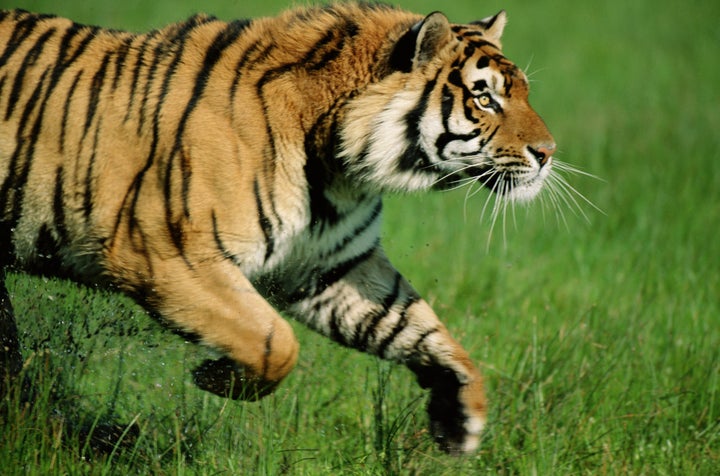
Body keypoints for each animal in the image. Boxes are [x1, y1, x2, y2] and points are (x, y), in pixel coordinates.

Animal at [0, 2, 556, 454]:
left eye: (523, 93)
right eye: (484, 99)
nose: (548, 153)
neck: (339, 166)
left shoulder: (330, 265)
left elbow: (417, 326)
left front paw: (460, 416)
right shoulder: (166, 254)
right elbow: (276, 344)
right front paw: (216, 377)